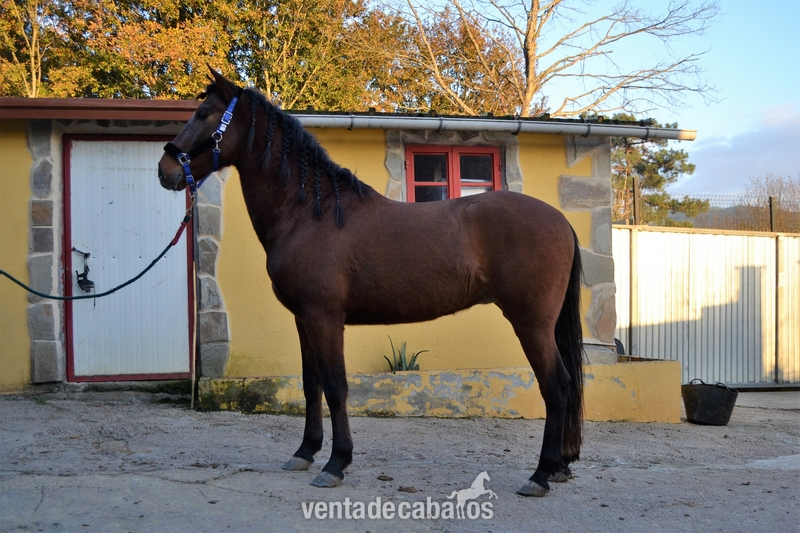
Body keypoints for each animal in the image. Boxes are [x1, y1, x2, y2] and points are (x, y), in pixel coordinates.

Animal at [158, 68, 584, 498]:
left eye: (204, 113)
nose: (165, 169)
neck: (309, 213)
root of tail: (562, 221)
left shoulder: (324, 317)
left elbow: (336, 387)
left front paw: (335, 463)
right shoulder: (303, 319)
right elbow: (311, 384)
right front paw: (305, 452)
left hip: (531, 323)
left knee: (557, 385)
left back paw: (541, 474)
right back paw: (560, 467)